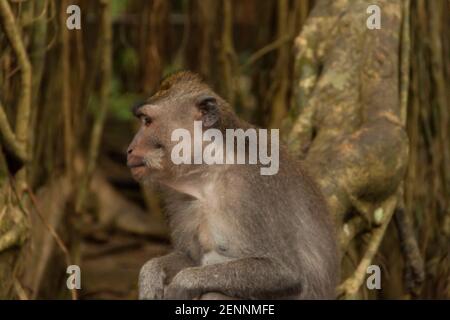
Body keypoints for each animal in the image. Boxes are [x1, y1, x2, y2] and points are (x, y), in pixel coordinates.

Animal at [125, 70, 338, 300]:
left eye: (147, 121)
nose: (130, 149)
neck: (210, 170)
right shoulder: (179, 196)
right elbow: (190, 258)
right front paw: (150, 274)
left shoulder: (251, 189)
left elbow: (285, 271)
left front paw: (183, 283)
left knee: (215, 294)